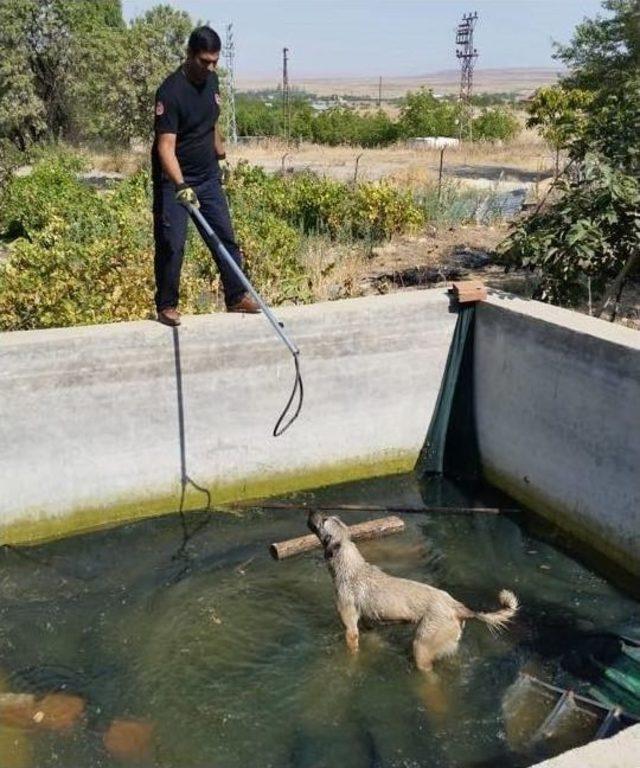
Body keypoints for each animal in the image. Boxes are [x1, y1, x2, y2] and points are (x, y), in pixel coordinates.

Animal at [306, 516, 520, 672]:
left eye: (323, 520)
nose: (311, 510)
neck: (350, 568)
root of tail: (458, 607)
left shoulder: (350, 629)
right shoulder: (368, 625)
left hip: (422, 647)